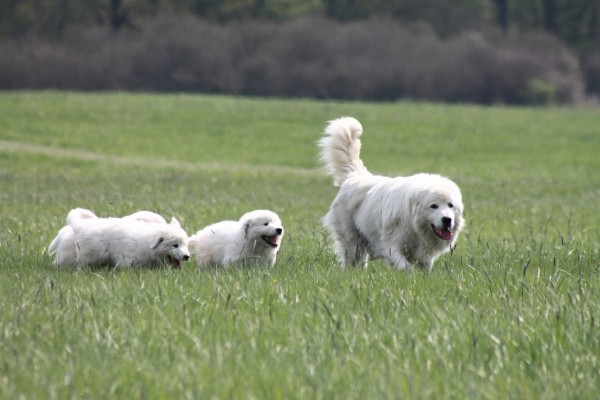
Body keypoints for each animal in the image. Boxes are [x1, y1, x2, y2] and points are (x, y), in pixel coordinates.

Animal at [48, 208, 188, 268]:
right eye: (175, 245)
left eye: (185, 245)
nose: (187, 256)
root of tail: (80, 225)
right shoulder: (127, 257)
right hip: (89, 253)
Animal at [318, 117, 464, 270]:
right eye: (433, 206)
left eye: (450, 205)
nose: (447, 219)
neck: (414, 225)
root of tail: (355, 175)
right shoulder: (391, 246)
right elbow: (406, 267)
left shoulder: (425, 256)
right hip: (352, 240)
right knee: (351, 258)